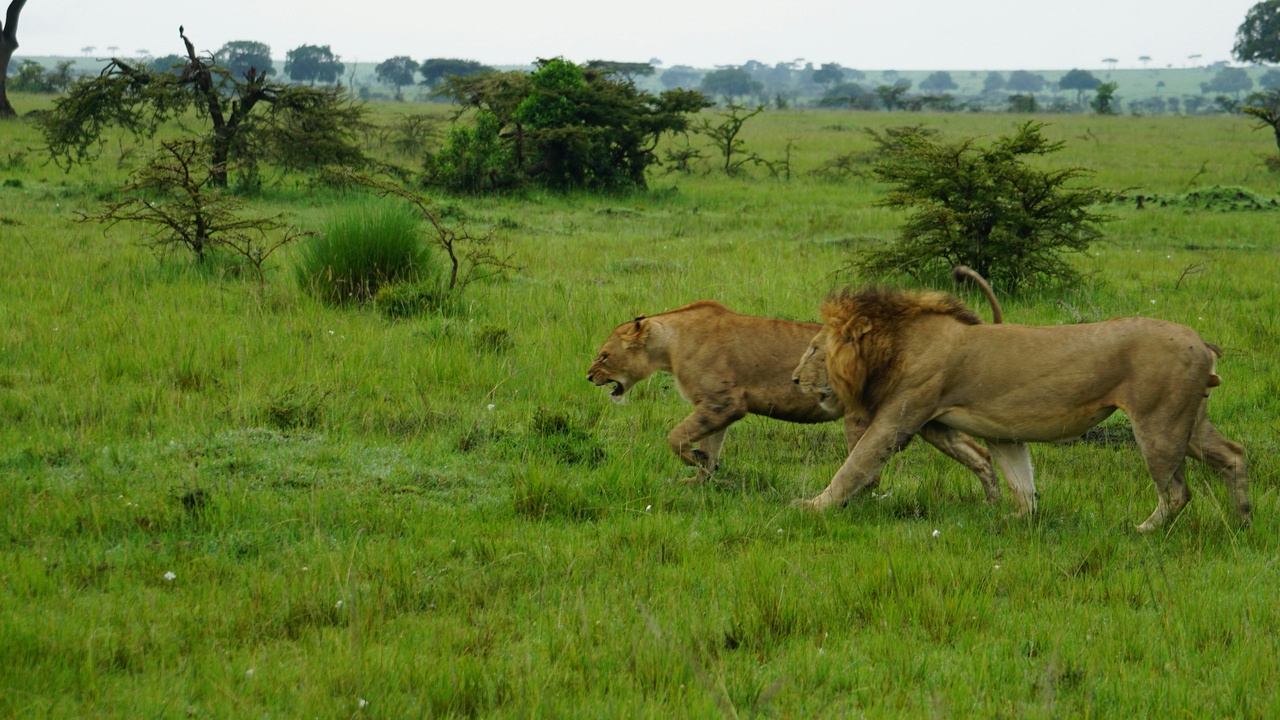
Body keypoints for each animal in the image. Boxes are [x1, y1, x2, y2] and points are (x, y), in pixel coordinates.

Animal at [587, 299, 1002, 498]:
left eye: (605, 355)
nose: (588, 376)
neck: (669, 345)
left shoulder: (725, 402)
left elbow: (675, 437)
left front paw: (695, 463)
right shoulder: (715, 407)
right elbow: (711, 445)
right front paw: (700, 478)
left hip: (864, 416)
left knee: (868, 472)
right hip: (929, 418)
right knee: (978, 453)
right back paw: (994, 499)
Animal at [791, 283, 1250, 532]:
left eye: (814, 349)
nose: (794, 380)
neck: (895, 346)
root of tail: (1200, 341)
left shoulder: (899, 419)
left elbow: (854, 464)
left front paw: (813, 507)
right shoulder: (987, 430)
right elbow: (1019, 481)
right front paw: (1016, 519)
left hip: (1158, 423)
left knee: (1177, 491)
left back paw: (1143, 530)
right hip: (1188, 421)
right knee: (1233, 455)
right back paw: (1244, 520)